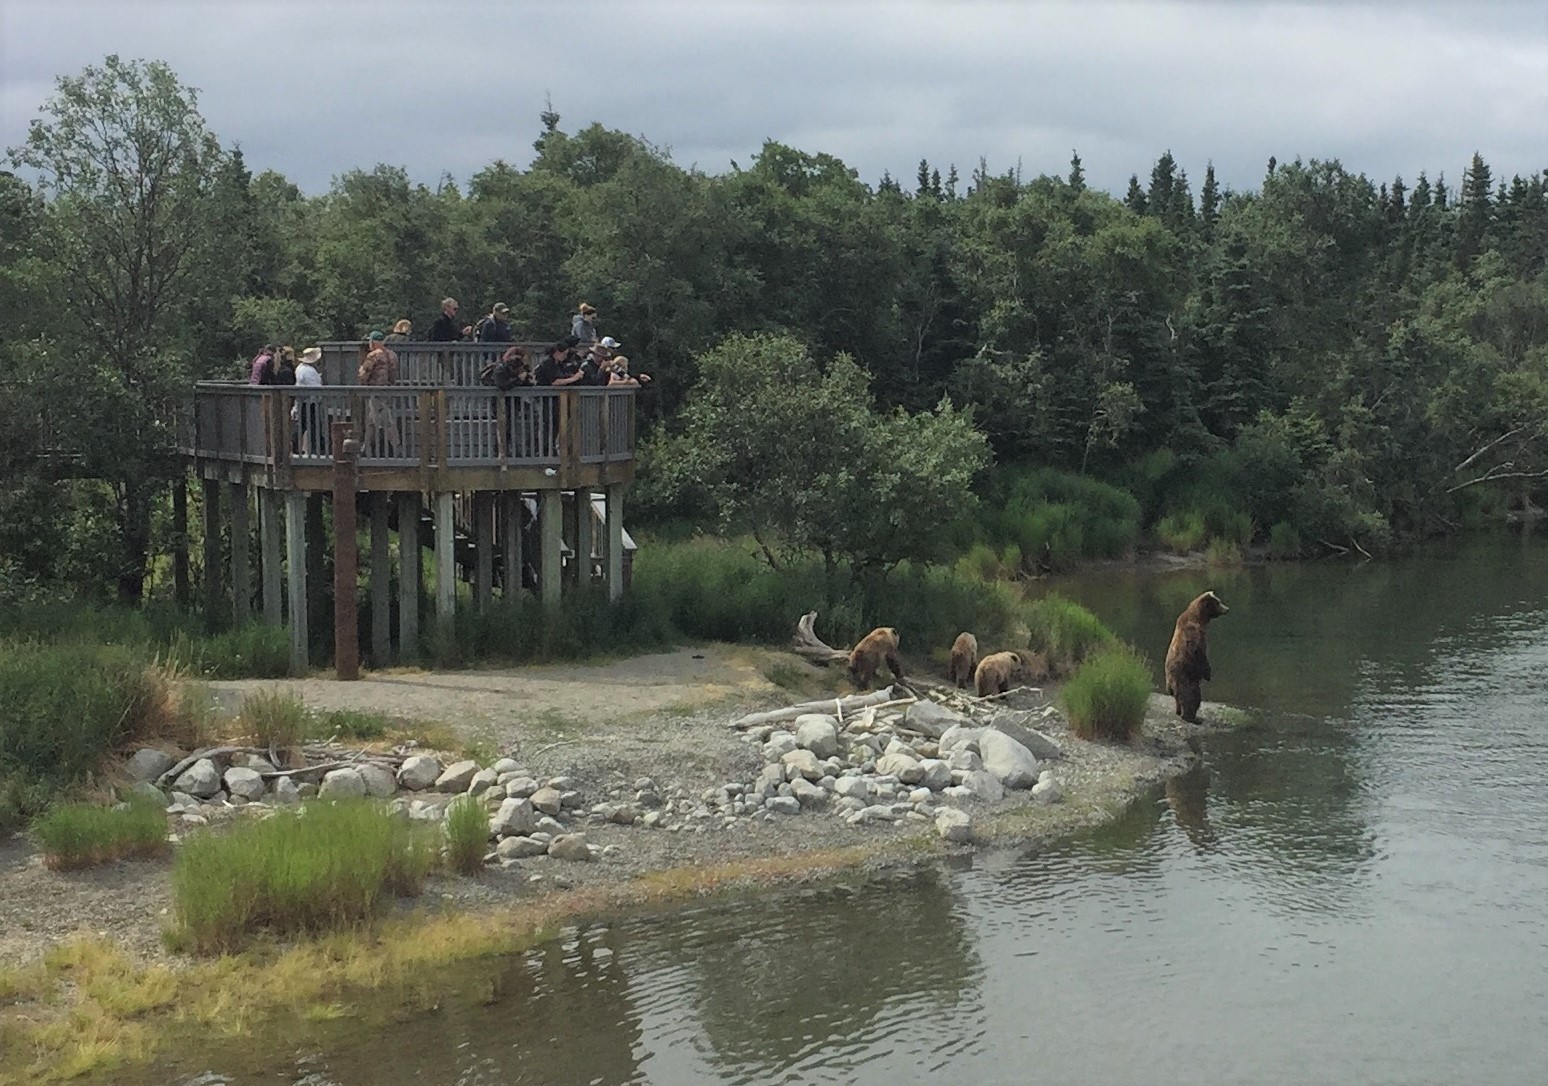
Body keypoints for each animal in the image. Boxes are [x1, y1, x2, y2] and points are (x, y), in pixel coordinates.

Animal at [1164, 590, 1230, 722]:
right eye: (1218, 602)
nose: (1227, 609)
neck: (1200, 618)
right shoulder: (1194, 633)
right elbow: (1199, 652)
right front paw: (1208, 673)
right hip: (1185, 679)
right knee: (1192, 696)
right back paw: (1190, 715)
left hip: (1172, 683)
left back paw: (1179, 711)